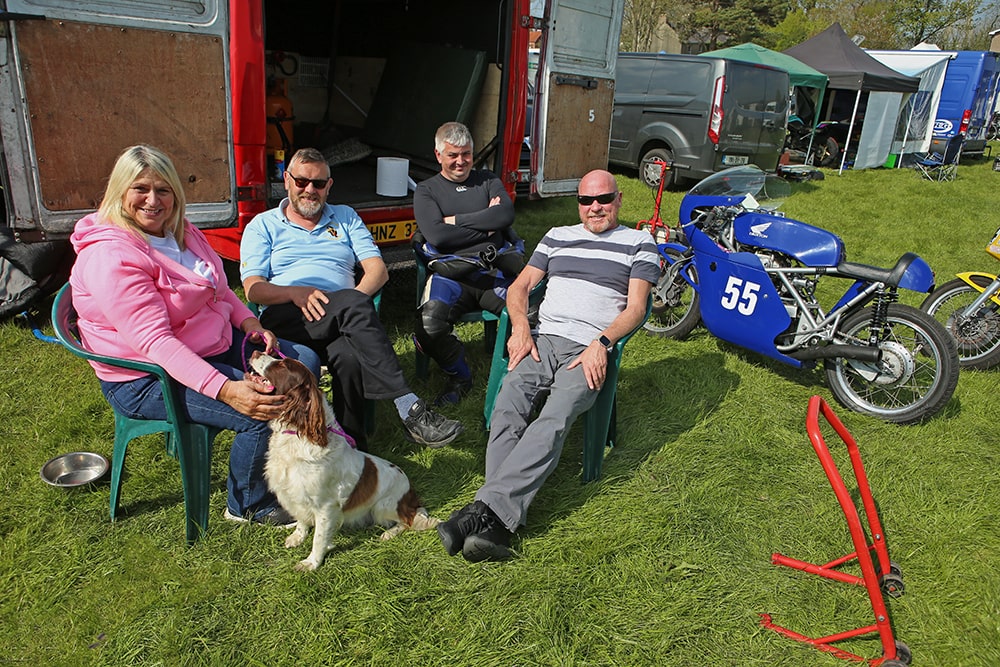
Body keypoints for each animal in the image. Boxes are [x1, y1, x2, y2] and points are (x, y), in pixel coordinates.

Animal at [248, 352, 440, 572]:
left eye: (283, 365)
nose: (255, 352)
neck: (298, 435)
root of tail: (411, 495)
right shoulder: (296, 494)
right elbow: (302, 519)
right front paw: (297, 537)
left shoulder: (325, 506)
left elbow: (319, 538)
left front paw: (311, 563)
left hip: (383, 506)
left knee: (408, 520)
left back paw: (388, 534)